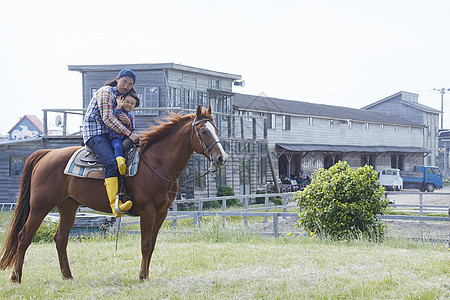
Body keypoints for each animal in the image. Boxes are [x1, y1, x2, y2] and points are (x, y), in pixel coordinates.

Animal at [0, 105, 227, 282]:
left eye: (216, 129)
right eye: (203, 131)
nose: (221, 158)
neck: (157, 163)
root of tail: (46, 154)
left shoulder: (162, 212)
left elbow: (152, 245)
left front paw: (146, 275)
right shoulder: (148, 211)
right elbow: (145, 244)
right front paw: (142, 277)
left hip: (68, 206)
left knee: (60, 239)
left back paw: (67, 276)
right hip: (40, 206)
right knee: (24, 237)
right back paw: (16, 277)